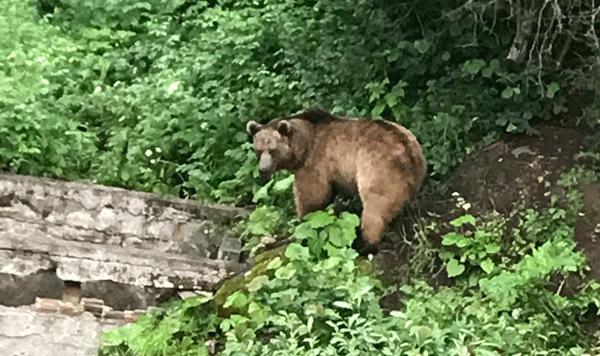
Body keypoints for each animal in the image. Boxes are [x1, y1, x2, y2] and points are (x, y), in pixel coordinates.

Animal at [247, 108, 426, 253]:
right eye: (258, 150)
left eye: (273, 150)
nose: (263, 169)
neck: (304, 146)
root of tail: (410, 153)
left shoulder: (316, 162)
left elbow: (312, 197)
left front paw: (301, 224)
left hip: (377, 168)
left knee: (375, 206)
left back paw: (363, 244)